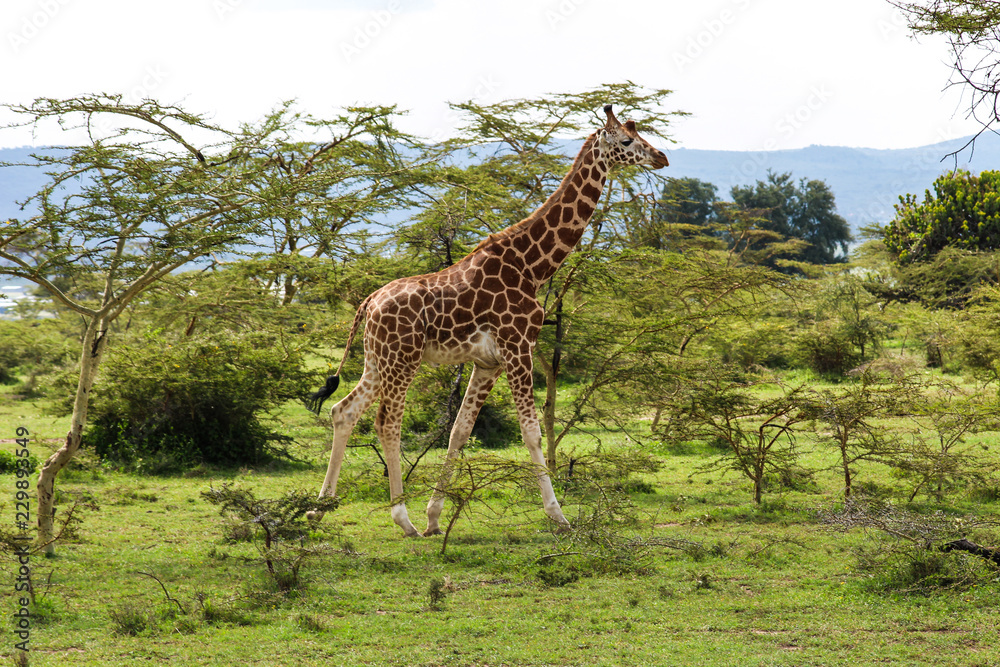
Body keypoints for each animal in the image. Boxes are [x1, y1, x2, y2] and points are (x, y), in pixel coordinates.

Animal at [304, 104, 664, 536]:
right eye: (627, 140)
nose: (661, 157)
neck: (533, 265)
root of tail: (368, 302)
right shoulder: (518, 347)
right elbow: (531, 433)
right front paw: (557, 515)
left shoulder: (487, 362)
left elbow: (459, 431)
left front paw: (435, 516)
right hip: (403, 360)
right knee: (387, 422)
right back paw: (402, 519)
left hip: (377, 360)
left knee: (344, 411)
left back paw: (320, 508)